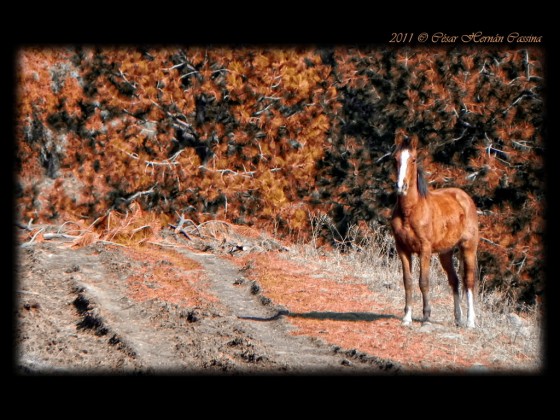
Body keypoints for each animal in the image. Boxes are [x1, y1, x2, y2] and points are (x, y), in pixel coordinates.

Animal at [392, 135, 480, 328]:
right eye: (395, 159)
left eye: (413, 159)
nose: (401, 186)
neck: (410, 211)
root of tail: (465, 197)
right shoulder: (402, 249)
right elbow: (408, 281)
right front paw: (407, 318)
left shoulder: (425, 250)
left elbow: (423, 281)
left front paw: (426, 318)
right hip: (445, 253)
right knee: (454, 280)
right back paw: (458, 318)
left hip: (468, 246)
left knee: (468, 281)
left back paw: (470, 321)